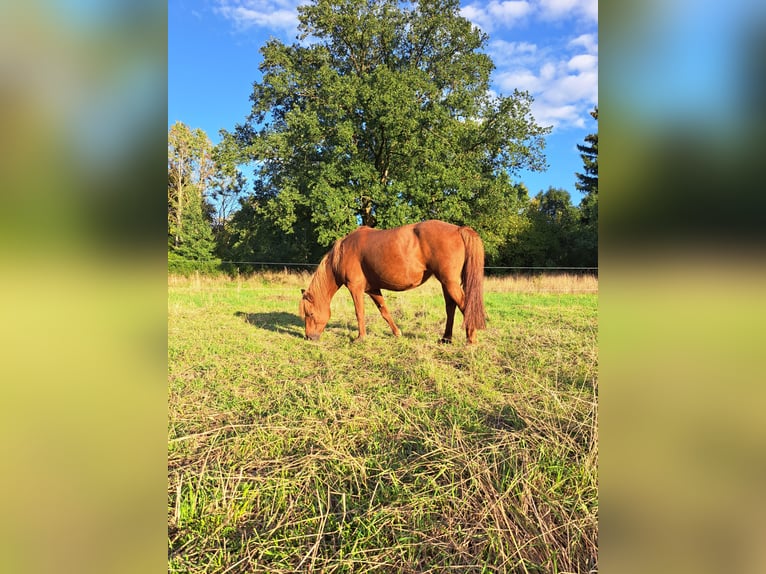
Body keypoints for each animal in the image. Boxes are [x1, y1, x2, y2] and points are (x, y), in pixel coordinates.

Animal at [298, 220, 486, 344]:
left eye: (310, 314)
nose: (308, 337)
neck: (343, 252)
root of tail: (459, 229)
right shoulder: (372, 289)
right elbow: (384, 311)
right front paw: (397, 333)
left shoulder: (355, 288)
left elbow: (359, 312)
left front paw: (360, 338)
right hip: (446, 283)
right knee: (451, 307)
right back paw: (446, 338)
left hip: (449, 282)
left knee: (465, 305)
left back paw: (471, 340)